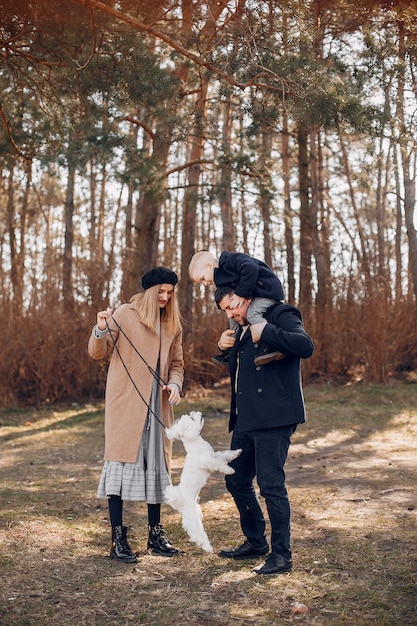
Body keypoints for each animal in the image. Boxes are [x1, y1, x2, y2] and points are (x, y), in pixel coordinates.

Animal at [162, 410, 240, 552]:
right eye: (192, 418)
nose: (198, 413)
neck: (196, 444)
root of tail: (181, 501)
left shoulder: (214, 455)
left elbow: (224, 454)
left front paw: (236, 452)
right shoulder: (207, 461)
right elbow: (218, 464)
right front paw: (229, 470)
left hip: (197, 512)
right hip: (193, 519)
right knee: (197, 533)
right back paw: (207, 547)